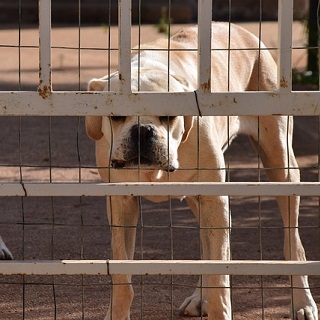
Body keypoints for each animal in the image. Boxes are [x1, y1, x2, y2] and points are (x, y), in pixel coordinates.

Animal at [85, 21, 318, 318]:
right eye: (116, 116)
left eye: (168, 116)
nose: (143, 130)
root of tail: (238, 29)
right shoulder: (121, 204)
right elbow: (122, 276)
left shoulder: (214, 199)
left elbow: (220, 275)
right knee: (208, 249)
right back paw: (199, 298)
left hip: (281, 166)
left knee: (292, 243)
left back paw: (303, 303)